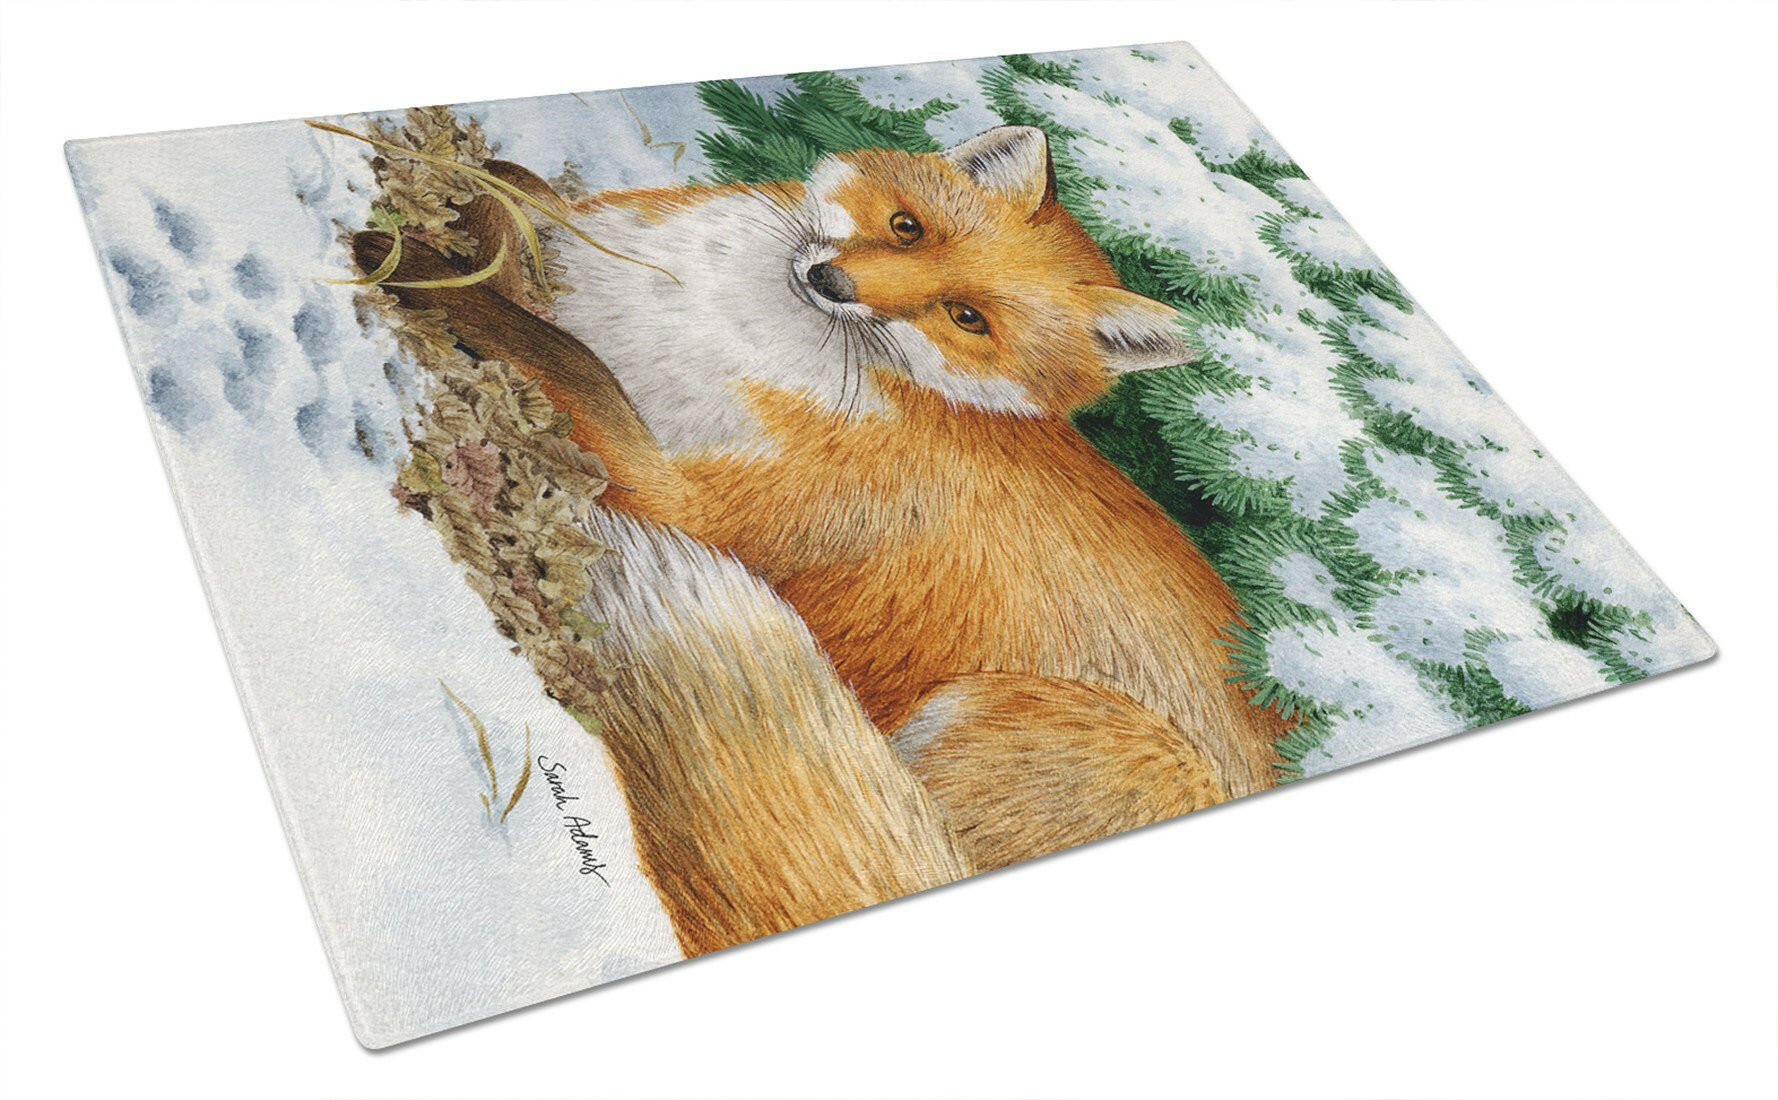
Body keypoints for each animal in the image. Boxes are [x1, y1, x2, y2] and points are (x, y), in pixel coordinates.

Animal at [354, 125, 1290, 956]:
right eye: (908, 226)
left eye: (966, 318)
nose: (830, 279)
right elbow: (529, 211)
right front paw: (469, 208)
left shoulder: (686, 500)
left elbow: (561, 355)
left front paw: (425, 272)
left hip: (1007, 722)